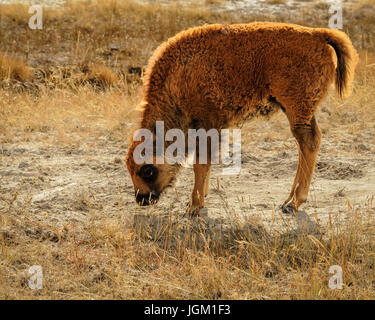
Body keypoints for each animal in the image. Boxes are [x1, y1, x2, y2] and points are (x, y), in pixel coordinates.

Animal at [126, 21, 358, 215]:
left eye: (147, 170)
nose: (142, 199)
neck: (177, 79)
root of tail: (318, 35)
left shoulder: (207, 125)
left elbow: (200, 163)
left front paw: (193, 207)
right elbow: (205, 163)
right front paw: (199, 198)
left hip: (297, 109)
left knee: (308, 143)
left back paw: (293, 203)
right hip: (300, 111)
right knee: (308, 144)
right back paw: (287, 201)